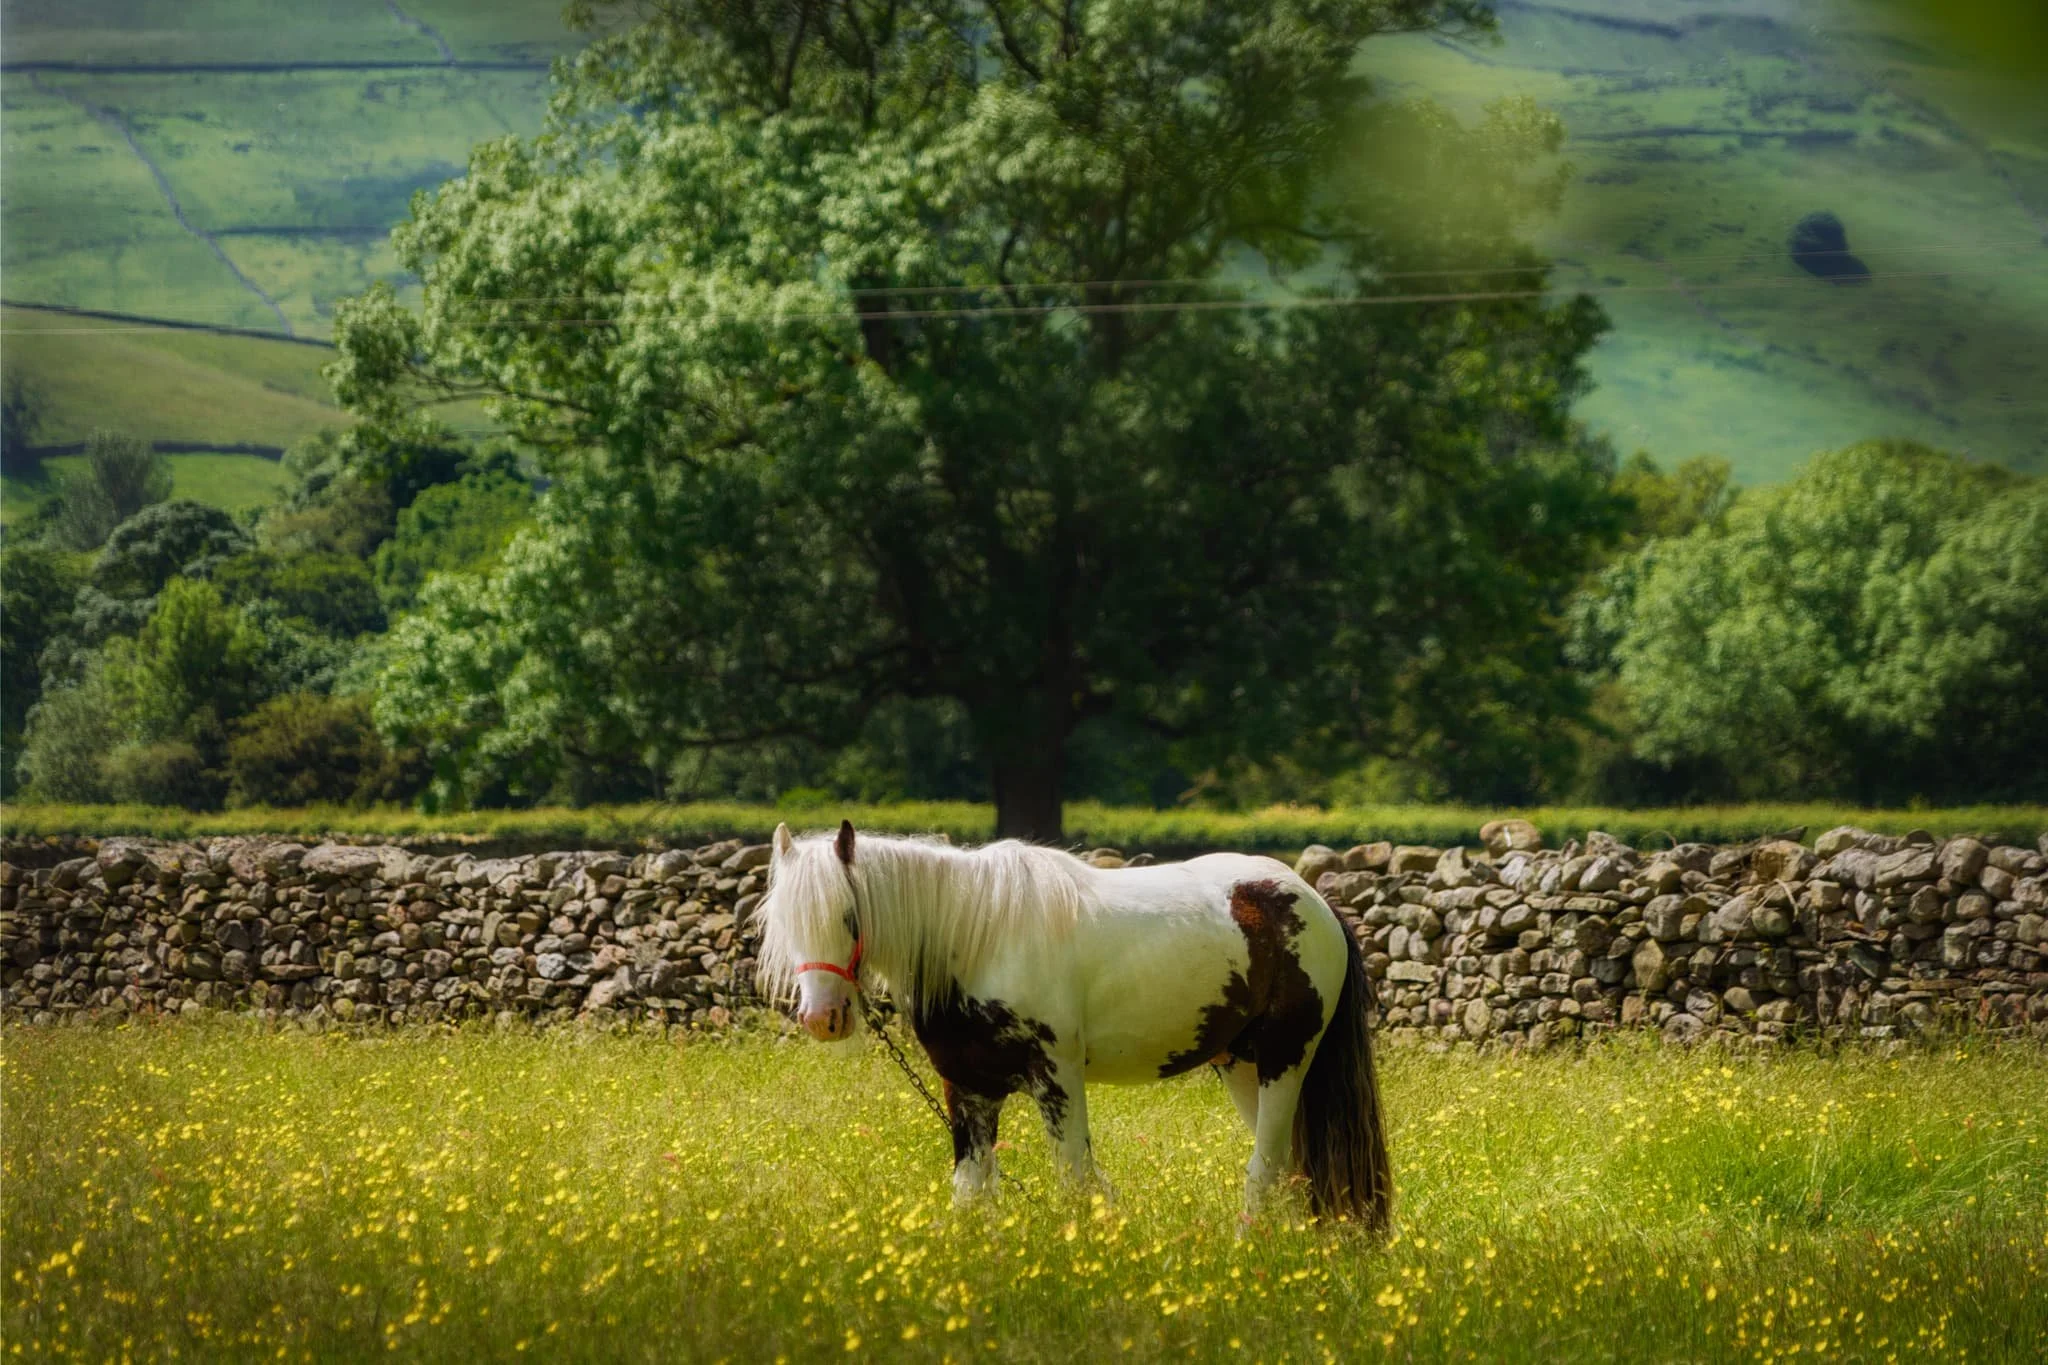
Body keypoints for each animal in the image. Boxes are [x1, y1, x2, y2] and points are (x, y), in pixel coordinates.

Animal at [757, 820, 1391, 1228]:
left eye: (848, 915)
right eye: (785, 919)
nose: (823, 1018)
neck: (977, 940)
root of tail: (1315, 901)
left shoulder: (1057, 1078)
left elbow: (1075, 1179)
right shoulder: (968, 1089)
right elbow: (972, 1191)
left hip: (1286, 1061)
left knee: (1266, 1167)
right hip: (1239, 1065)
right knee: (1286, 1168)